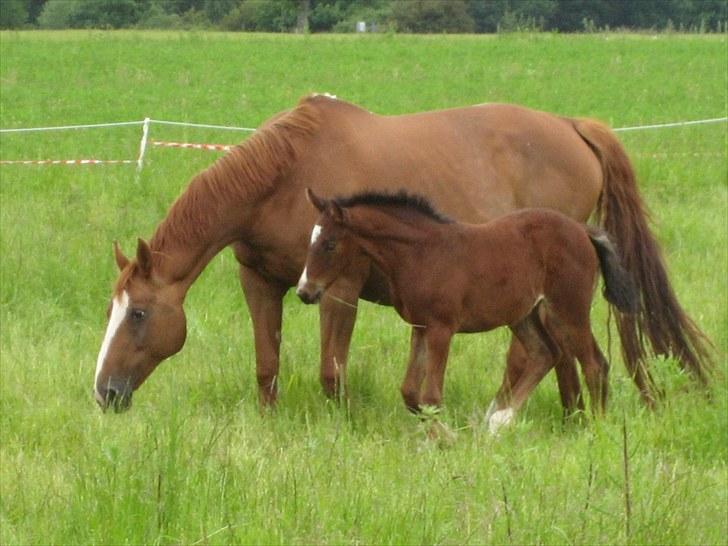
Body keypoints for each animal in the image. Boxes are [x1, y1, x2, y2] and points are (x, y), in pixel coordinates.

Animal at [296, 189, 636, 428]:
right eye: (310, 241)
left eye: (329, 244)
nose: (304, 291)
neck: (421, 254)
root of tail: (583, 231)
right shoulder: (420, 327)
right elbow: (410, 393)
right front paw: (442, 436)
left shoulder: (442, 328)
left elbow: (431, 396)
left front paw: (446, 441)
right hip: (523, 314)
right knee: (545, 353)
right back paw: (498, 422)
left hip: (568, 309)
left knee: (595, 364)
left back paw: (597, 427)